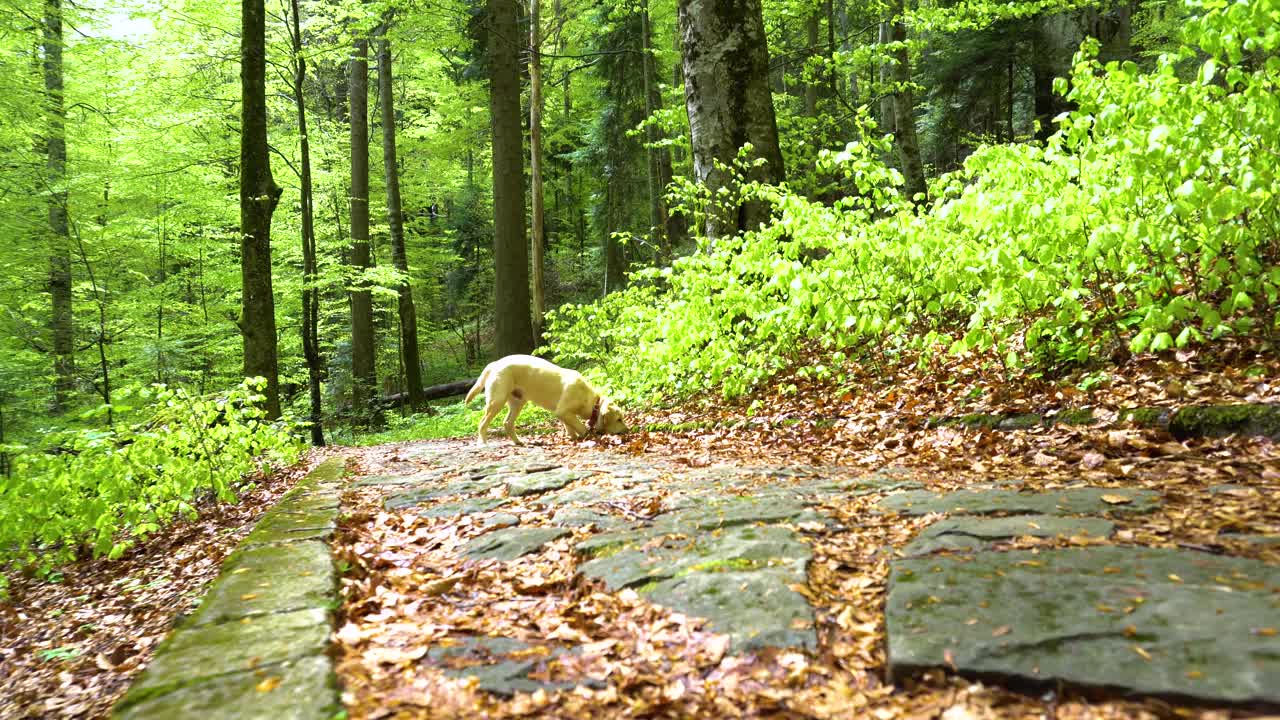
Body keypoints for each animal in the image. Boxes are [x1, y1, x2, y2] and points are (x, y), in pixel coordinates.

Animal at [463, 353, 627, 443]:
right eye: (619, 419)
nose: (627, 430)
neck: (591, 402)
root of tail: (494, 364)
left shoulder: (564, 414)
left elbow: (570, 427)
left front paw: (573, 437)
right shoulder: (563, 411)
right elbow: (580, 426)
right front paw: (587, 435)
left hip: (518, 402)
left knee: (507, 423)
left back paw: (519, 442)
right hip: (497, 401)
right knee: (482, 423)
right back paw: (483, 443)